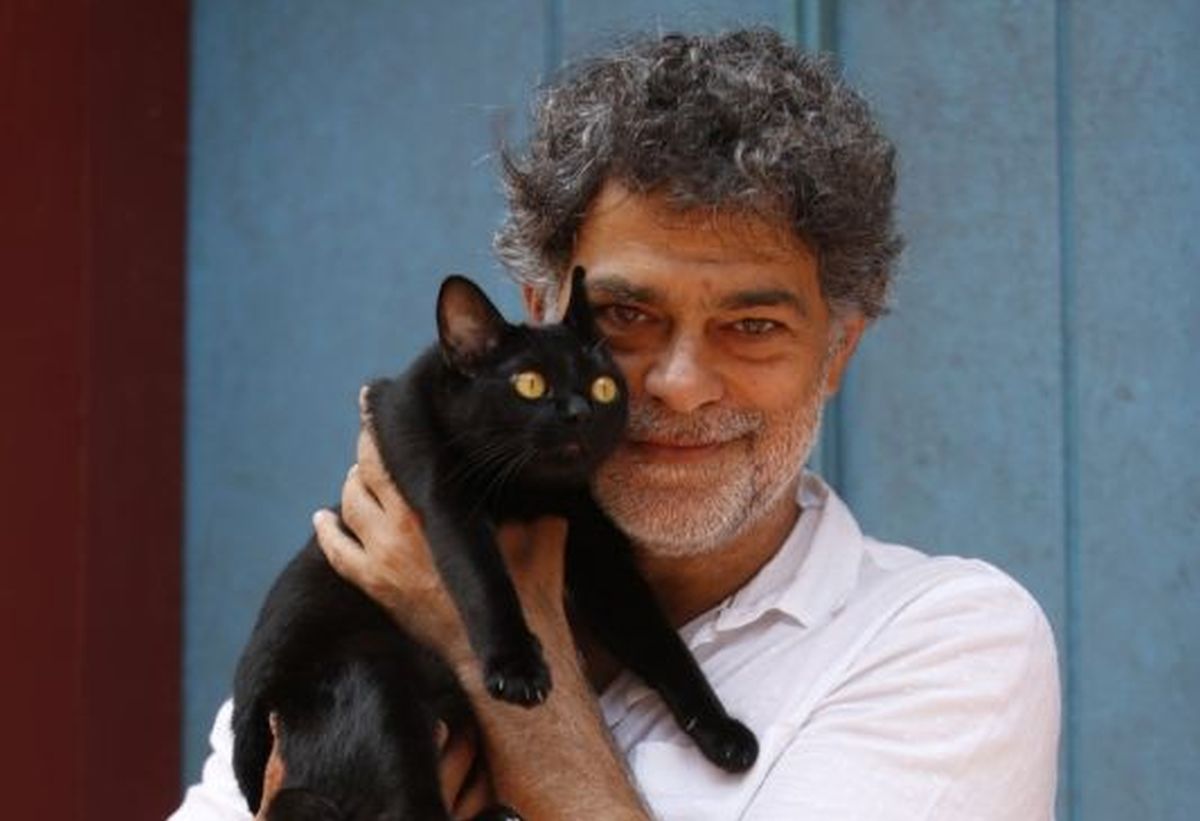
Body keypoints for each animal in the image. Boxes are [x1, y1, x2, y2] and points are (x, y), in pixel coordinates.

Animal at [232, 268, 758, 820]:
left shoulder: (600, 553)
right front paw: (517, 668)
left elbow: (659, 639)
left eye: (604, 387)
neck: (527, 493)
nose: (578, 412)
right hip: (371, 683)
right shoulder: (443, 492)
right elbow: (483, 577)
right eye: (530, 384)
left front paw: (722, 732)